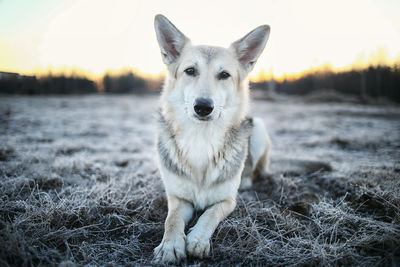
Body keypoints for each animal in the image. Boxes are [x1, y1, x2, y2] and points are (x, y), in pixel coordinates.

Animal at [154, 14, 272, 264]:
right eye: (190, 71)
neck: (202, 139)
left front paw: (198, 240)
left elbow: (209, 214)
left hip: (257, 128)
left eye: (224, 75)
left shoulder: (226, 202)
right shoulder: (178, 199)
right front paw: (170, 246)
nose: (203, 107)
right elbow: (172, 220)